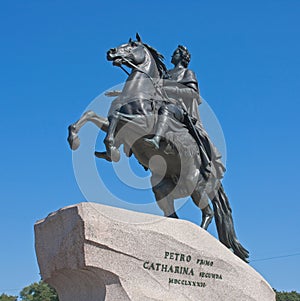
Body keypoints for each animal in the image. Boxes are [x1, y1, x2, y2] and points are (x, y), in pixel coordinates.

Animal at [67, 34, 248, 260]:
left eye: (133, 45)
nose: (111, 52)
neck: (138, 93)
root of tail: (215, 173)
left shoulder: (141, 125)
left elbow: (116, 118)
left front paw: (111, 150)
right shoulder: (116, 125)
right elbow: (91, 115)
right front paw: (76, 139)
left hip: (193, 184)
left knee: (208, 212)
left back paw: (201, 241)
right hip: (162, 187)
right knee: (174, 213)